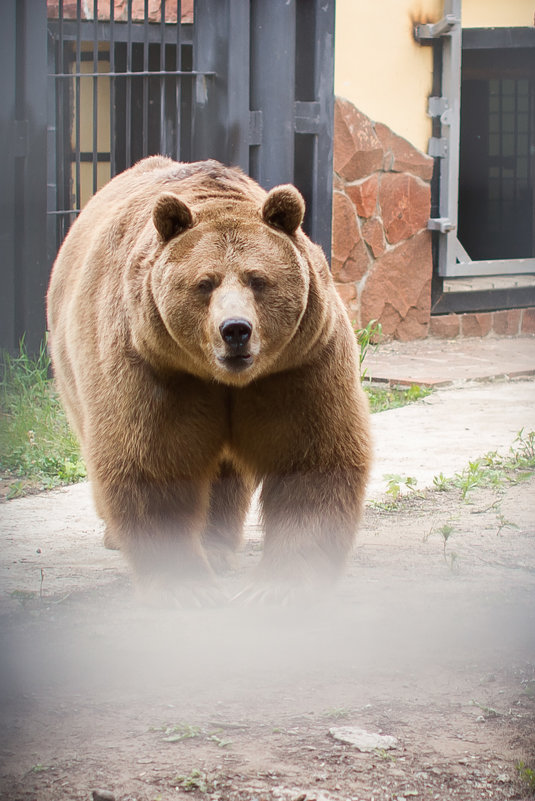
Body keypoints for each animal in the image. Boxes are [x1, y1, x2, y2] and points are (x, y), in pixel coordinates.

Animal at [48, 156, 370, 604]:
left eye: (257, 279)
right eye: (204, 282)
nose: (235, 330)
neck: (223, 378)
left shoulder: (298, 363)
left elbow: (311, 458)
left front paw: (278, 585)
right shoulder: (154, 365)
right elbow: (153, 462)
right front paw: (185, 585)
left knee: (225, 473)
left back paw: (217, 546)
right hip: (73, 366)